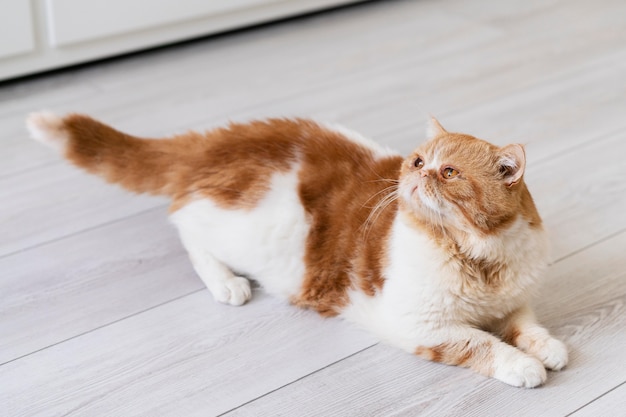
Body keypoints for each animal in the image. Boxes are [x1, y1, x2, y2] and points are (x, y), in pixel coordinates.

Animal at [26, 111, 564, 386]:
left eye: (448, 172)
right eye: (417, 161)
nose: (418, 175)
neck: (477, 257)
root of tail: (223, 139)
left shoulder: (513, 300)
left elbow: (526, 325)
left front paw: (548, 348)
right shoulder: (418, 324)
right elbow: (480, 343)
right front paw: (523, 365)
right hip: (242, 230)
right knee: (185, 228)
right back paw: (227, 283)